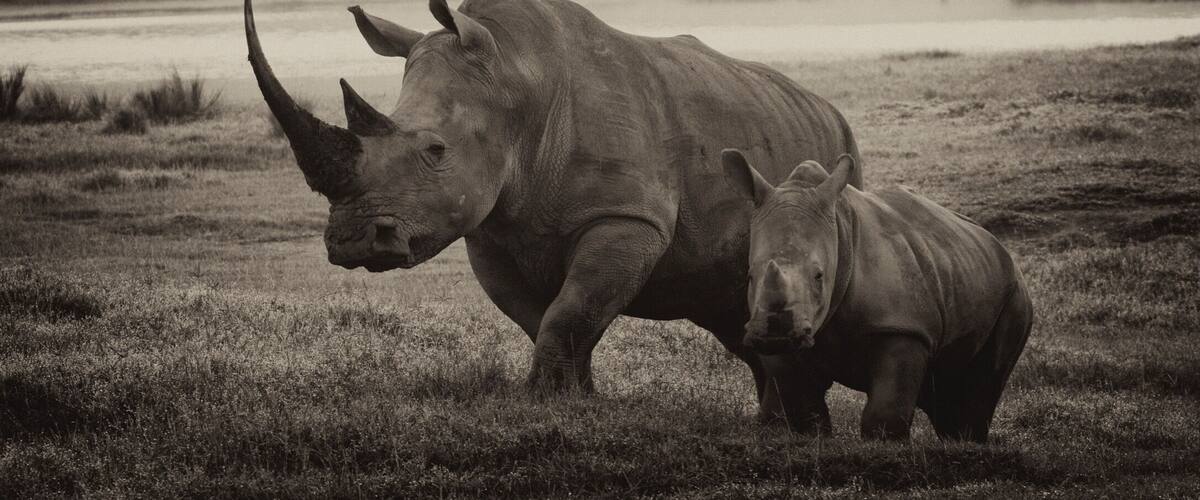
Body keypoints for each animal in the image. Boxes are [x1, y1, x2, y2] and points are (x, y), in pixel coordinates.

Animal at [245, 0, 863, 422]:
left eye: (436, 150)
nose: (352, 242)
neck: (517, 79)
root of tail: (828, 109)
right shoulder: (489, 231)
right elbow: (546, 315)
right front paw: (573, 400)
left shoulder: (627, 217)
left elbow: (572, 308)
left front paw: (545, 401)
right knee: (728, 311)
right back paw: (771, 426)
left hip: (839, 165)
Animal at [721, 151, 1032, 441]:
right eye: (750, 277)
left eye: (819, 276)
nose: (775, 335)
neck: (841, 233)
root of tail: (1000, 246)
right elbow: (800, 405)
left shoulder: (902, 326)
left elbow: (885, 412)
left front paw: (886, 442)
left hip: (1015, 294)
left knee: (984, 381)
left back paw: (966, 440)